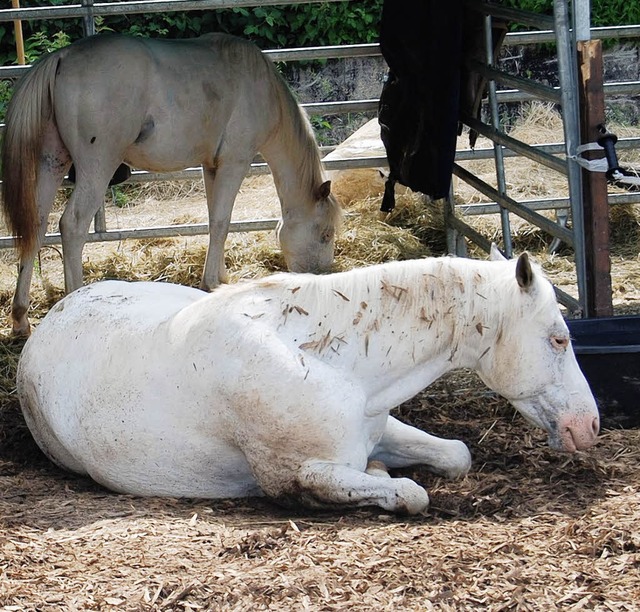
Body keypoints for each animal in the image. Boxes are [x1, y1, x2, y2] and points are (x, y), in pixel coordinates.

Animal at [18, 249, 600, 512]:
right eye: (559, 339)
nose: (589, 426)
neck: (323, 361)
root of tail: (55, 312)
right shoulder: (301, 475)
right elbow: (409, 493)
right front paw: (385, 481)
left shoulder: (377, 424)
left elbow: (456, 453)